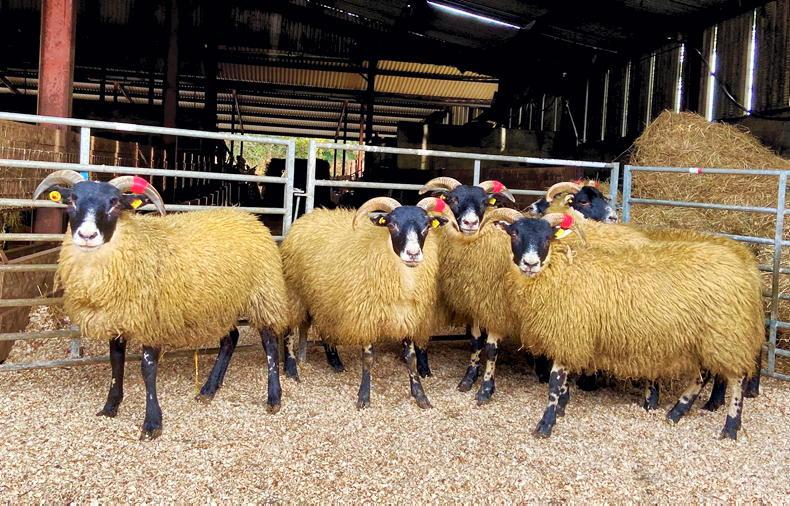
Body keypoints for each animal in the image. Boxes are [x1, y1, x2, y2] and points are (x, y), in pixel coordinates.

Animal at [33, 170, 290, 441]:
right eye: (71, 201)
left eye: (115, 204)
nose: (87, 236)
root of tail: (250, 218)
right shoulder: (117, 319)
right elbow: (116, 362)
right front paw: (110, 407)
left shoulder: (152, 320)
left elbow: (147, 369)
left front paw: (152, 423)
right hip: (219, 305)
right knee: (230, 340)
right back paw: (208, 389)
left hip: (263, 295)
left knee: (269, 344)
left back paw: (273, 398)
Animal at [280, 196, 455, 408]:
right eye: (392, 225)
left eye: (427, 226)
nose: (413, 254)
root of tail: (307, 217)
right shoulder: (367, 316)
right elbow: (368, 359)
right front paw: (363, 397)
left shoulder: (406, 317)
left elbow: (411, 359)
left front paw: (421, 396)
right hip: (295, 291)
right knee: (290, 331)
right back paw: (291, 370)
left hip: (324, 297)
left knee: (323, 328)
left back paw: (334, 362)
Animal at [481, 208, 764, 439]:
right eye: (514, 233)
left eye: (547, 237)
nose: (530, 263)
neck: (561, 271)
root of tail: (743, 267)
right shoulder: (573, 336)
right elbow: (563, 383)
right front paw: (561, 408)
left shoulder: (569, 333)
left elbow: (554, 383)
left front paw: (546, 424)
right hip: (703, 337)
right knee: (703, 375)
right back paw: (676, 412)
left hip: (726, 334)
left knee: (737, 378)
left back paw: (730, 427)